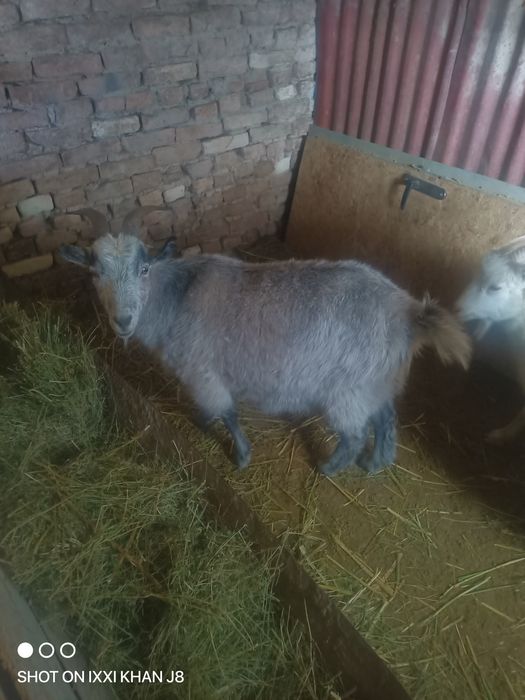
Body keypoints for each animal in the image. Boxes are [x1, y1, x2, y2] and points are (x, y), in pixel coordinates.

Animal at [60, 208, 471, 476]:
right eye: (95, 272)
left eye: (143, 269)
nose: (123, 321)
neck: (177, 297)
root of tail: (408, 311)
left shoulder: (203, 372)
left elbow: (226, 413)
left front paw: (237, 453)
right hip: (376, 381)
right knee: (385, 418)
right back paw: (374, 464)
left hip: (348, 389)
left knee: (355, 433)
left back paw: (330, 468)